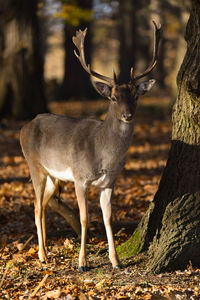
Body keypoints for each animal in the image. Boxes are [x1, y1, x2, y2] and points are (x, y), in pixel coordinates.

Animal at [19, 21, 161, 272]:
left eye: (135, 95)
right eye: (113, 98)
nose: (128, 115)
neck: (103, 155)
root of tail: (23, 128)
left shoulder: (110, 182)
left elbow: (108, 218)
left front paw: (116, 261)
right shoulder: (79, 178)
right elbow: (85, 218)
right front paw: (82, 263)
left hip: (53, 175)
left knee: (43, 205)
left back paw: (45, 252)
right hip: (34, 164)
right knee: (35, 207)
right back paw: (43, 256)